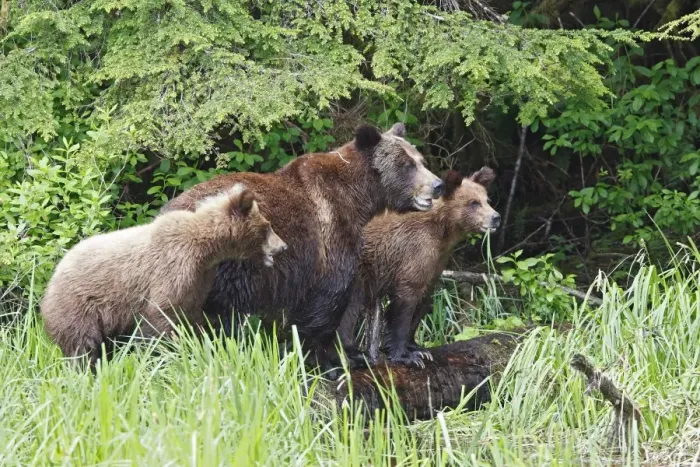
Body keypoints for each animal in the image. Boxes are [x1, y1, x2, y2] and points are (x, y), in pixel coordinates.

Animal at [41, 184, 287, 368]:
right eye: (267, 227)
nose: (283, 246)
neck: (207, 251)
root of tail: (52, 278)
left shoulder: (199, 280)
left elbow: (191, 314)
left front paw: (201, 341)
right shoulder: (174, 268)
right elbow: (162, 314)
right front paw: (163, 353)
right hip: (79, 307)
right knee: (82, 345)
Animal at [159, 123, 444, 371]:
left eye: (421, 160)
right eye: (406, 165)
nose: (437, 185)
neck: (358, 199)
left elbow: (349, 300)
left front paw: (356, 353)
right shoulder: (330, 234)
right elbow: (328, 299)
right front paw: (327, 360)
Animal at [337, 168, 500, 367]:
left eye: (487, 199)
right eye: (473, 202)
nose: (496, 218)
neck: (443, 232)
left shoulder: (437, 261)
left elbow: (423, 300)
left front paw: (418, 348)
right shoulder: (415, 252)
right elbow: (404, 306)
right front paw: (405, 356)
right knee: (348, 310)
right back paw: (351, 354)